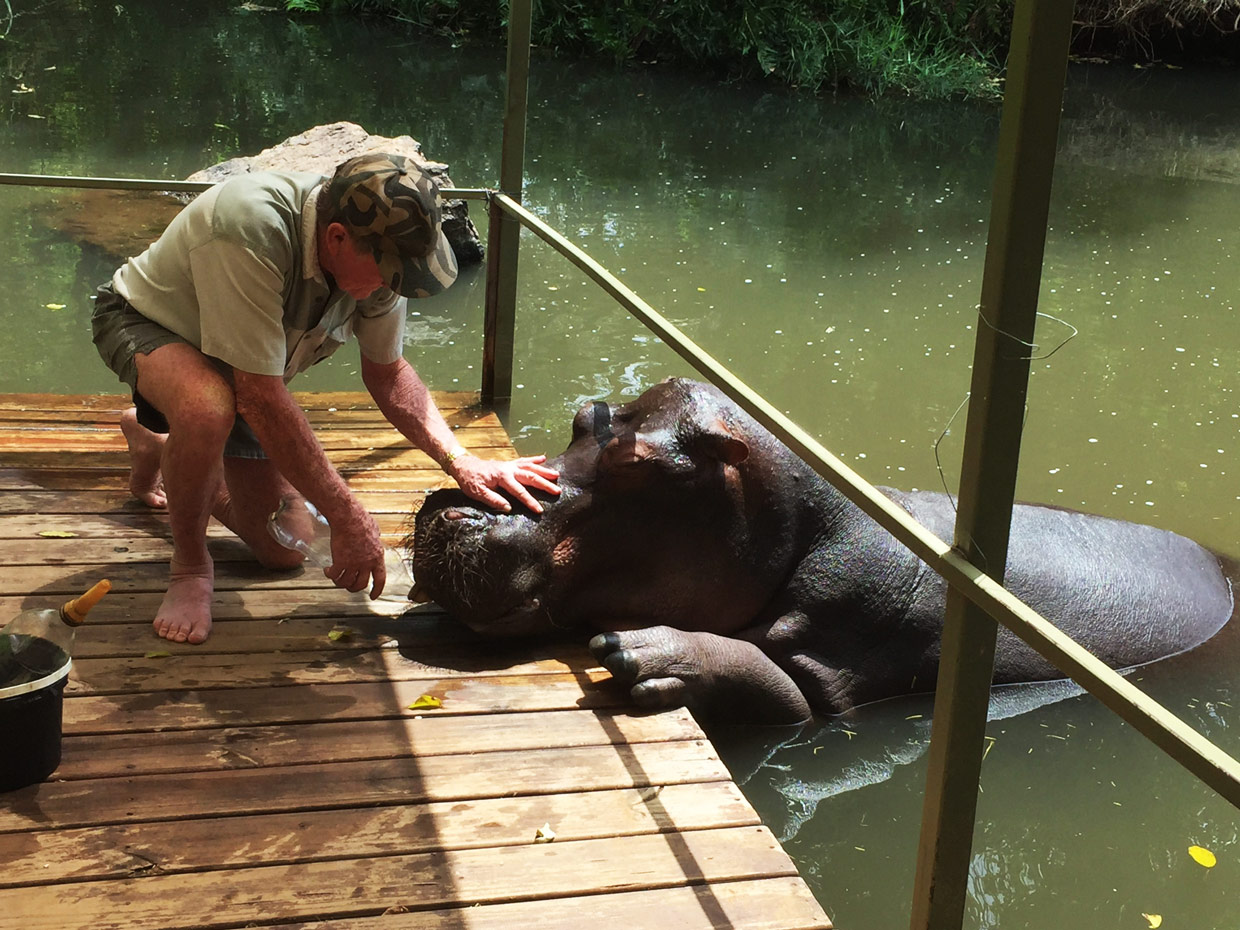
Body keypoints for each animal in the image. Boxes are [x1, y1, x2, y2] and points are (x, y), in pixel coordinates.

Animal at [411, 378, 1235, 724]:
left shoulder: (838, 657)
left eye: (638, 462)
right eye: (587, 416)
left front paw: (641, 654)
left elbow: (782, 688)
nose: (454, 508)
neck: (809, 521)